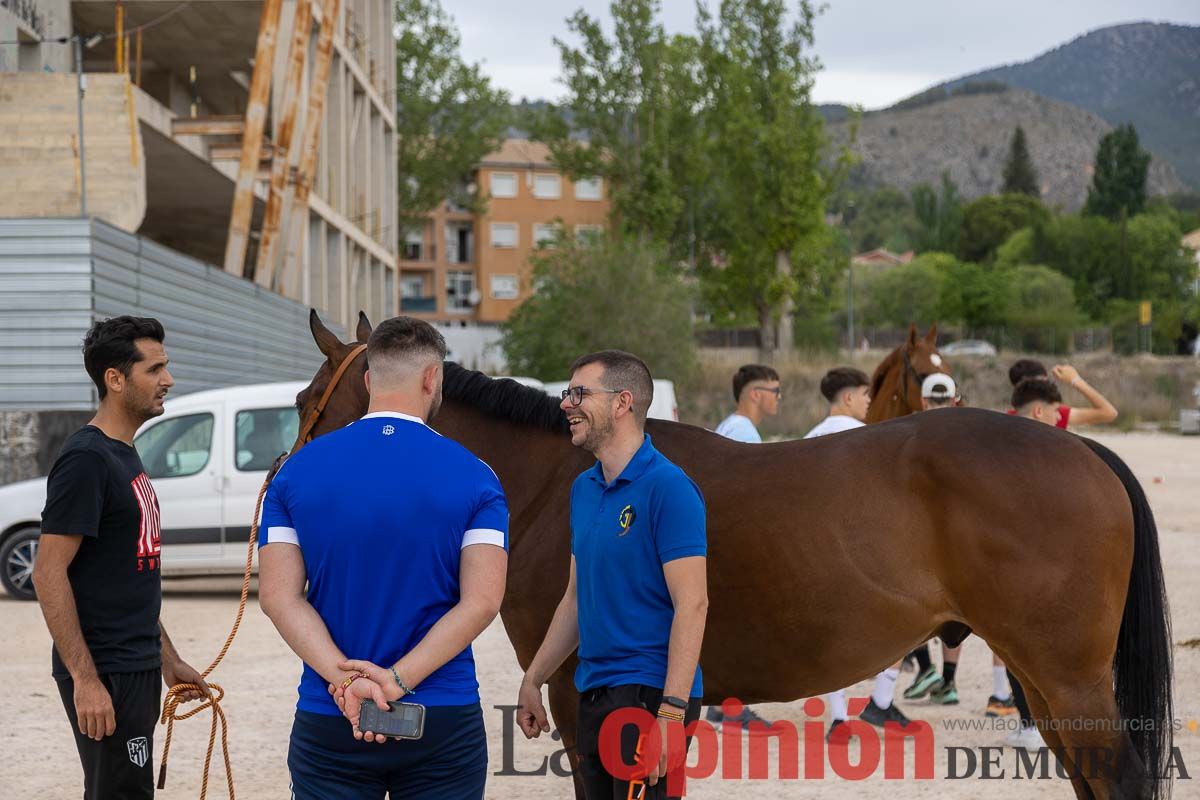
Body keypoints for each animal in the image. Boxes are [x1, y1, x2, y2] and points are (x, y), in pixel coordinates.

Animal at [295, 311, 1166, 800]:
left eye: (307, 401)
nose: (284, 478)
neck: (566, 480)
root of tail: (1080, 449)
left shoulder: (587, 703)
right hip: (1043, 677)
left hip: (1066, 675)